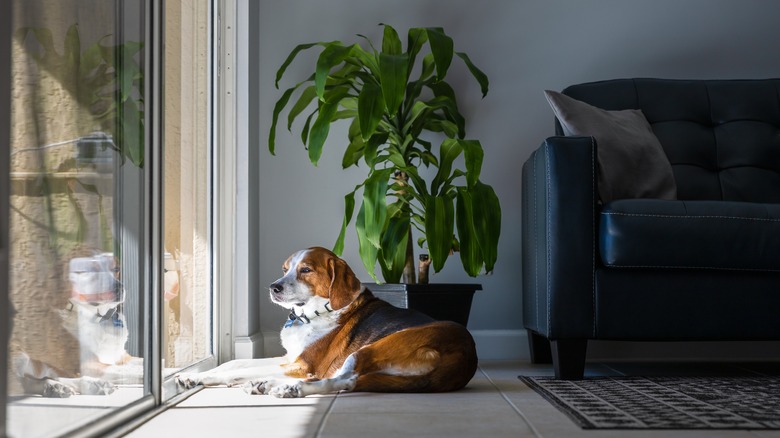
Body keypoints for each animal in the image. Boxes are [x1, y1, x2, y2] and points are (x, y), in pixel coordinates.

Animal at [177, 246, 478, 396]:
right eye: (285, 269)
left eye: (306, 270)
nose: (274, 287)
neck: (314, 313)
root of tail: (464, 358)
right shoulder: (290, 358)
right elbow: (235, 363)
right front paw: (194, 376)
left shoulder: (303, 365)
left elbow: (235, 370)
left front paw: (208, 377)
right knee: (346, 382)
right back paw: (268, 384)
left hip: (370, 349)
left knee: (338, 379)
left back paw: (285, 387)